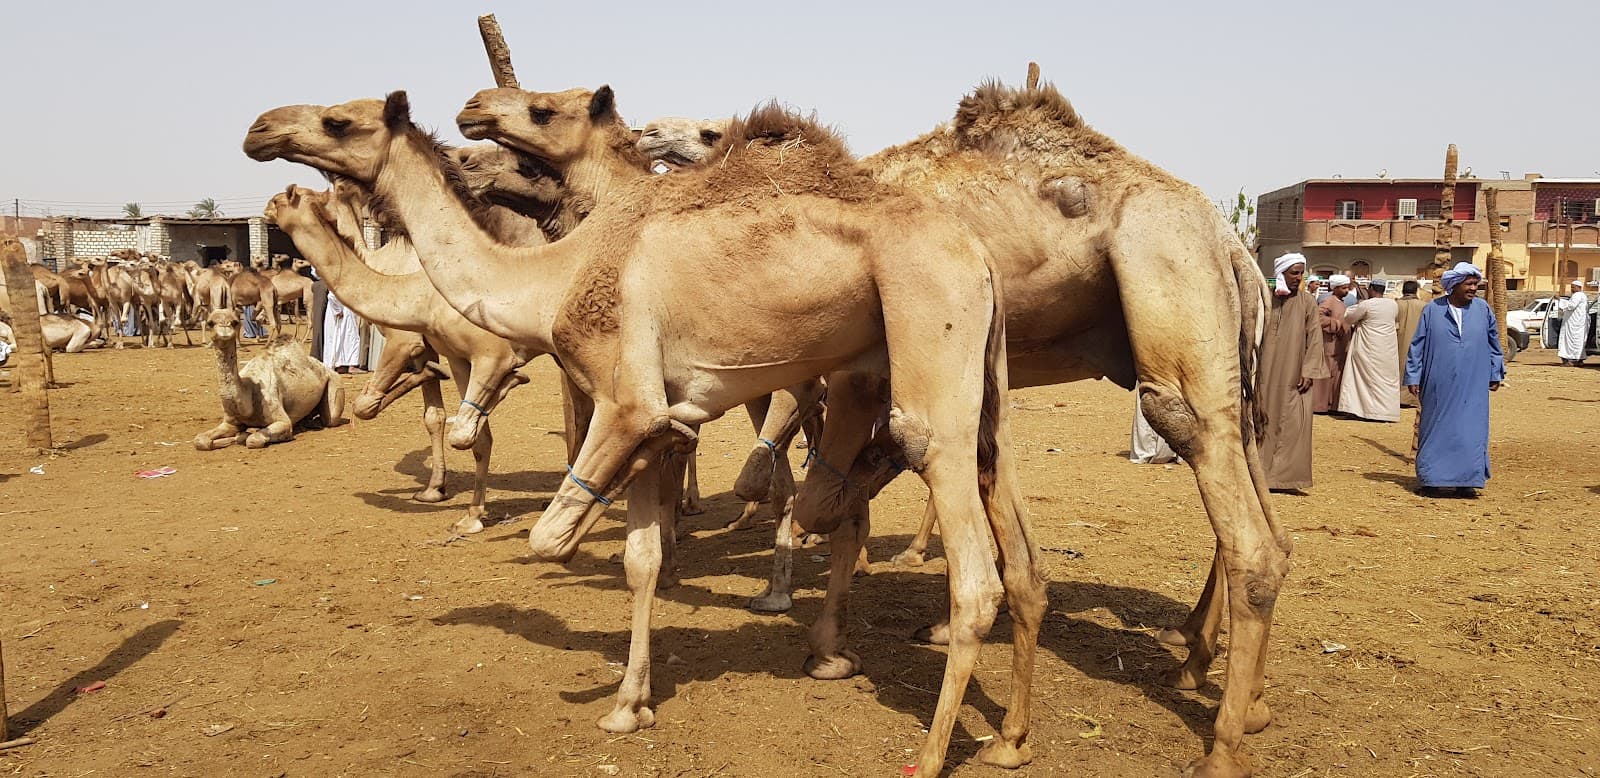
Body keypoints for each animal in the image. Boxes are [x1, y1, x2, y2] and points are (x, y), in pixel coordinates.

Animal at [194, 309, 346, 450]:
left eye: (235, 322)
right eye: (210, 323)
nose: (225, 329)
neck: (248, 390)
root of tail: (325, 367)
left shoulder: (282, 419)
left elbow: (253, 439)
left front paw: (245, 436)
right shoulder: (229, 423)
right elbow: (200, 440)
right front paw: (234, 437)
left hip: (335, 382)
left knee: (330, 419)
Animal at [263, 182, 534, 535]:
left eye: (279, 199)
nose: (265, 210)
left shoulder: (409, 342)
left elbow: (366, 406)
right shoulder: (445, 351)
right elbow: (438, 418)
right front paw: (437, 491)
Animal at [480, 78, 1284, 777]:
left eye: (544, 111)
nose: (474, 117)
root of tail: (1226, 235)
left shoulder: (822, 371)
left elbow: (811, 493)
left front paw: (800, 615)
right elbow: (832, 498)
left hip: (1166, 277)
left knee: (1217, 484)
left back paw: (1218, 740)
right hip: (1219, 344)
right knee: (1259, 510)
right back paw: (1219, 681)